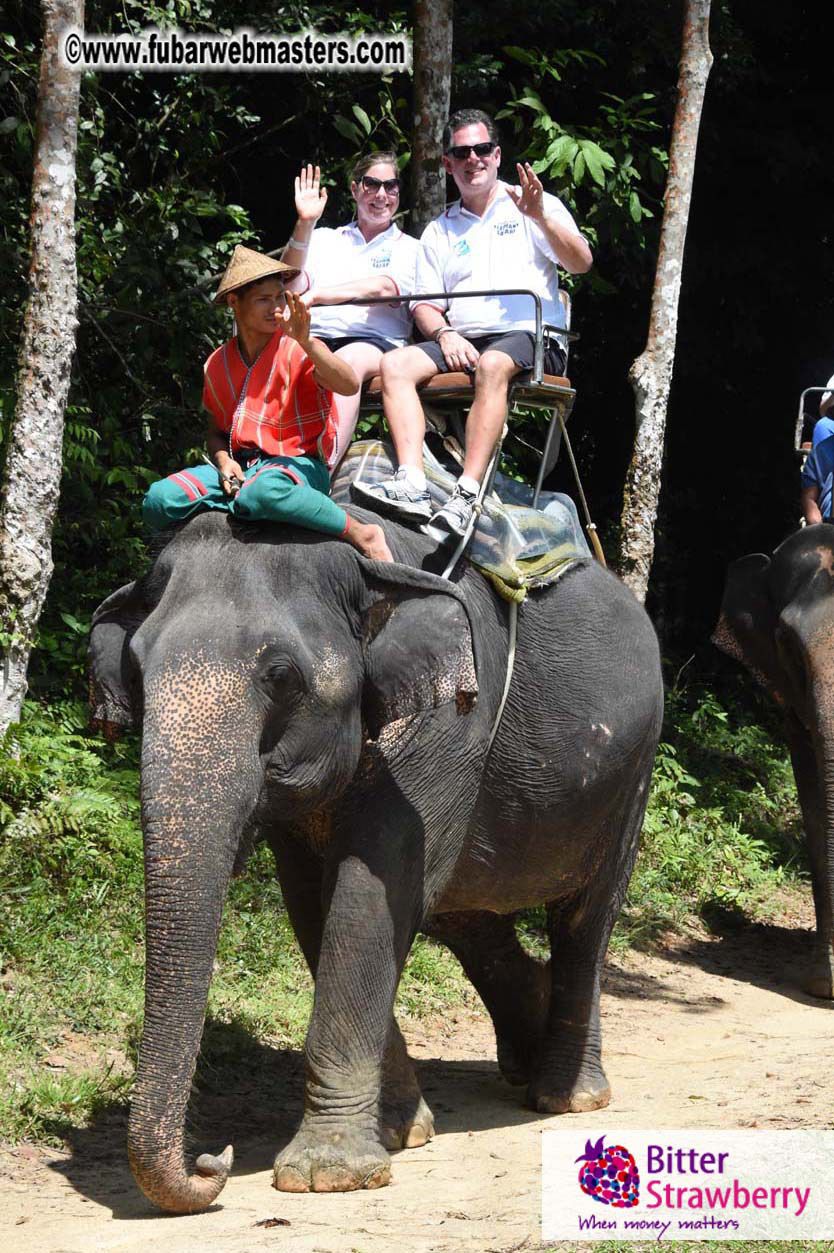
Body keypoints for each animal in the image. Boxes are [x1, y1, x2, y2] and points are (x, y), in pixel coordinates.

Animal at [89, 505, 663, 1215]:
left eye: (280, 675)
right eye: (137, 673)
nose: (211, 1159)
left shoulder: (448, 725)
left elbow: (366, 896)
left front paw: (327, 1174)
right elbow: (314, 905)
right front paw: (400, 1133)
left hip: (632, 775)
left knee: (584, 920)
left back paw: (567, 1096)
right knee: (469, 917)